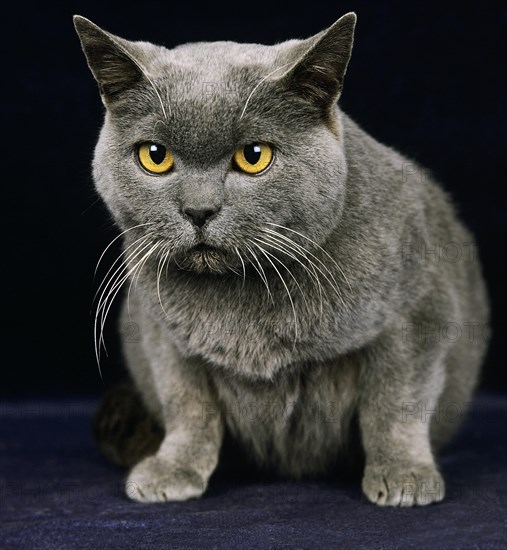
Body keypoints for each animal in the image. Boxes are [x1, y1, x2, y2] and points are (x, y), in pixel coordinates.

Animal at [73, 10, 490, 508]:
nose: (199, 209)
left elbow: (395, 403)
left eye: (254, 156)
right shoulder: (162, 335)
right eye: (155, 156)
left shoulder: (418, 312)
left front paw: (404, 475)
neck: (243, 294)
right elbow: (188, 405)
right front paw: (173, 470)